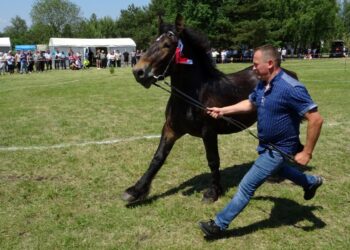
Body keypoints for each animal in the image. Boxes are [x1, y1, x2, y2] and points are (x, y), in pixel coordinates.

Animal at [121, 14, 296, 204]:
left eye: (167, 45)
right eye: (152, 42)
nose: (138, 72)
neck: (192, 97)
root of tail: (288, 73)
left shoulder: (209, 131)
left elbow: (213, 160)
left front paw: (213, 192)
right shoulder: (170, 129)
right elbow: (158, 157)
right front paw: (135, 191)